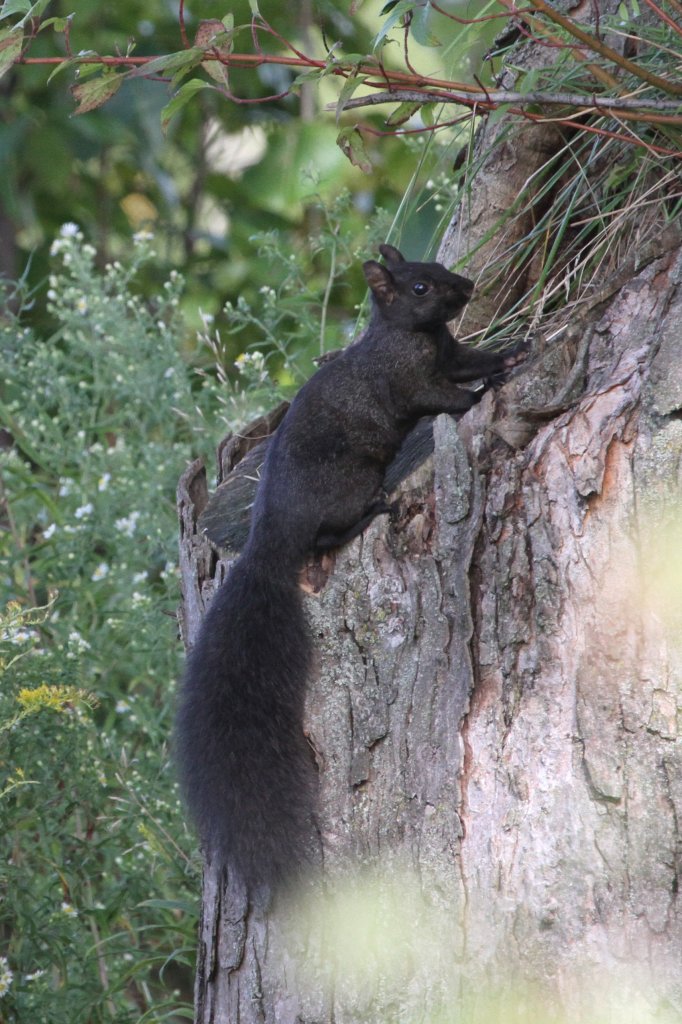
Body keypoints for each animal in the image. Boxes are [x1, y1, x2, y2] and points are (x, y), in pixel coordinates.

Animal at [174, 241, 516, 897]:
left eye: (439, 271)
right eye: (418, 286)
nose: (466, 285)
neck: (414, 336)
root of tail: (269, 540)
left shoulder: (451, 351)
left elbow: (472, 358)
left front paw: (511, 352)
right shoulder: (411, 383)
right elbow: (445, 397)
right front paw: (483, 391)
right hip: (350, 480)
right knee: (328, 534)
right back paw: (369, 515)